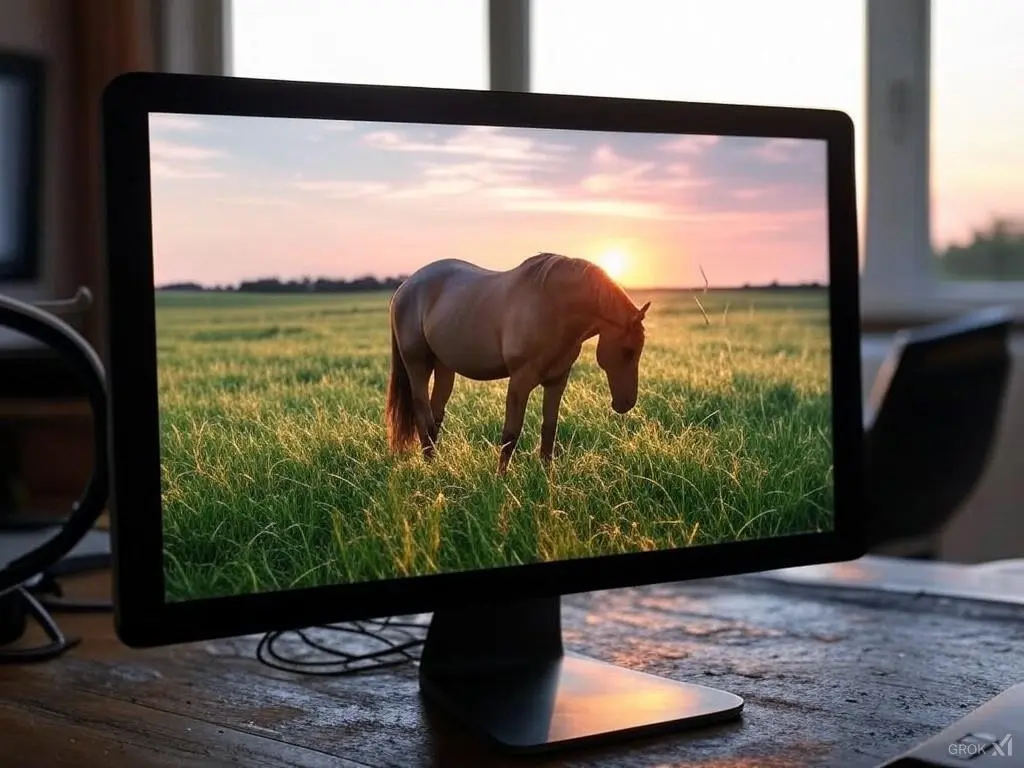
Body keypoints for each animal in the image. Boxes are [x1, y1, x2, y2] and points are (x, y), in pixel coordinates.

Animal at [385, 252, 647, 473]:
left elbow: (549, 428)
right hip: (417, 365)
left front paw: (546, 474)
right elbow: (511, 433)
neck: (553, 306)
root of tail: (404, 288)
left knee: (435, 415)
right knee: (423, 413)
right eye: (628, 351)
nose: (625, 404)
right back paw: (431, 466)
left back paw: (435, 463)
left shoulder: (557, 380)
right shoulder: (520, 380)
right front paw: (500, 478)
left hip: (444, 367)